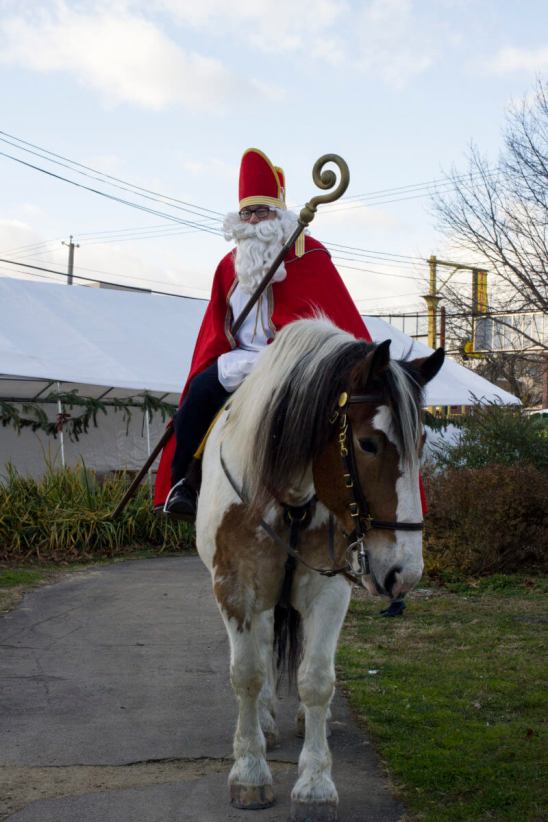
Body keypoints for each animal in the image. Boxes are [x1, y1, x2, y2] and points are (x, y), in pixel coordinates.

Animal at [195, 320, 444, 822]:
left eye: (423, 443)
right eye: (368, 443)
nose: (404, 573)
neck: (289, 495)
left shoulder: (328, 590)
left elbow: (316, 680)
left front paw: (314, 785)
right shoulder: (235, 589)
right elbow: (247, 673)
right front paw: (250, 770)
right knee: (264, 647)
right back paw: (265, 719)